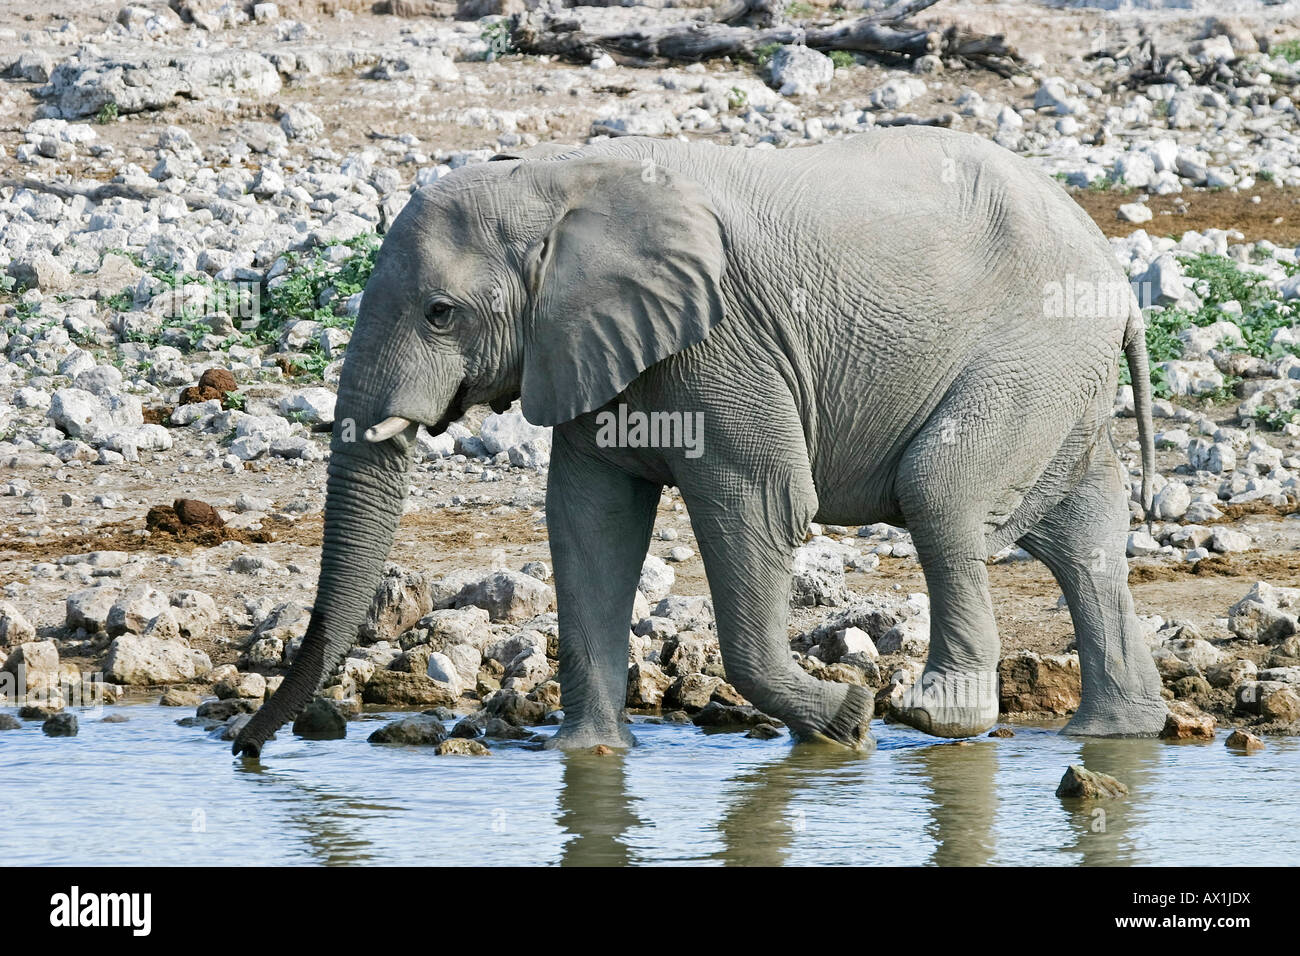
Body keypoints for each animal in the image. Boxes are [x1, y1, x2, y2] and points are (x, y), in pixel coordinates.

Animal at [233, 125, 1170, 764]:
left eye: (439, 314)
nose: (246, 749)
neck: (554, 178)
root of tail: (1117, 281)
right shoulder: (593, 347)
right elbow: (588, 520)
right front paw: (587, 758)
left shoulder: (723, 343)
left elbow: (759, 502)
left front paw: (847, 723)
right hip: (1061, 379)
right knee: (1084, 536)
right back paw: (1115, 733)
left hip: (1032, 353)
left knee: (940, 494)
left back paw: (934, 716)